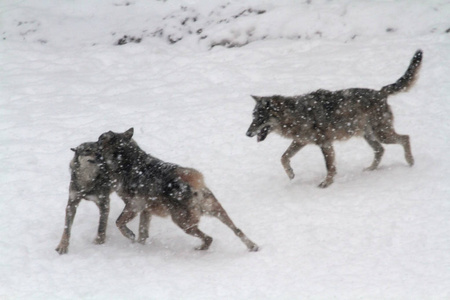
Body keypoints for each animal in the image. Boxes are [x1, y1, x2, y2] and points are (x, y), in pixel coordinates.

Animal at [97, 127, 260, 252]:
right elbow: (142, 232)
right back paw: (253, 247)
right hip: (217, 212)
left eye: (100, 139)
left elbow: (119, 223)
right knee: (237, 230)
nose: (94, 142)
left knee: (209, 238)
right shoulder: (146, 210)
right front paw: (140, 246)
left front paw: (130, 236)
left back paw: (200, 249)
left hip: (183, 224)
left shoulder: (134, 206)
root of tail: (194, 184)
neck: (127, 160)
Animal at [246, 50, 422, 189]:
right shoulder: (301, 141)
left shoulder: (325, 143)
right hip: (369, 136)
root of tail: (380, 92)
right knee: (380, 150)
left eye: (260, 118)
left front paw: (326, 183)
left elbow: (329, 166)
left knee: (405, 138)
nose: (247, 134)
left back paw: (410, 161)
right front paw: (291, 175)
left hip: (382, 134)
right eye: (253, 117)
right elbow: (283, 157)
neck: (297, 114)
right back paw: (370, 169)